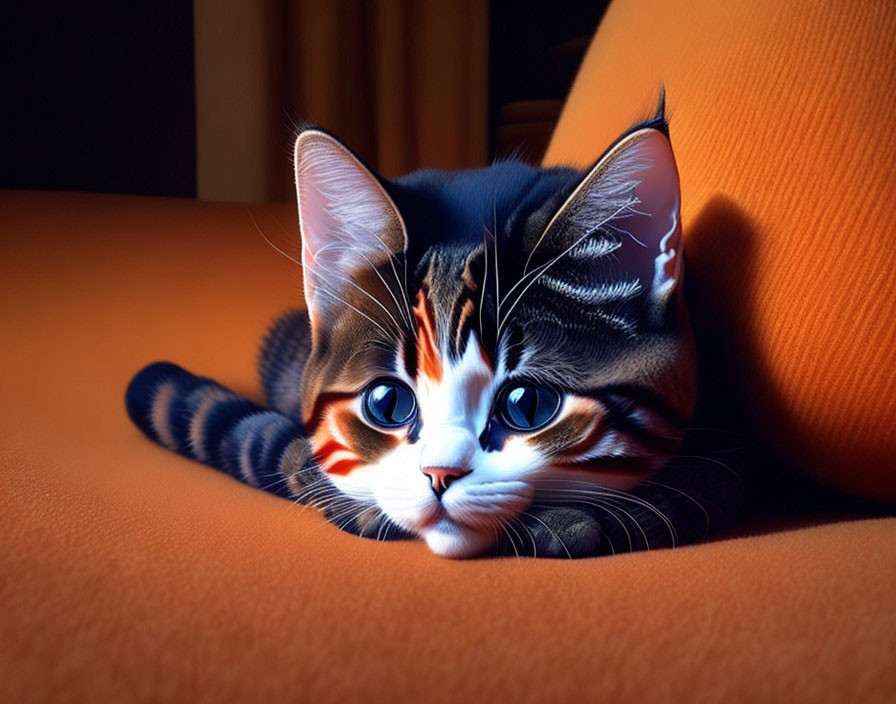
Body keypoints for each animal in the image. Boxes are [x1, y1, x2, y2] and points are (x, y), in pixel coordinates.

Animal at [126, 92, 744, 556]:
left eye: (528, 405)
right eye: (387, 403)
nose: (440, 475)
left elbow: (705, 482)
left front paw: (579, 521)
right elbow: (297, 459)